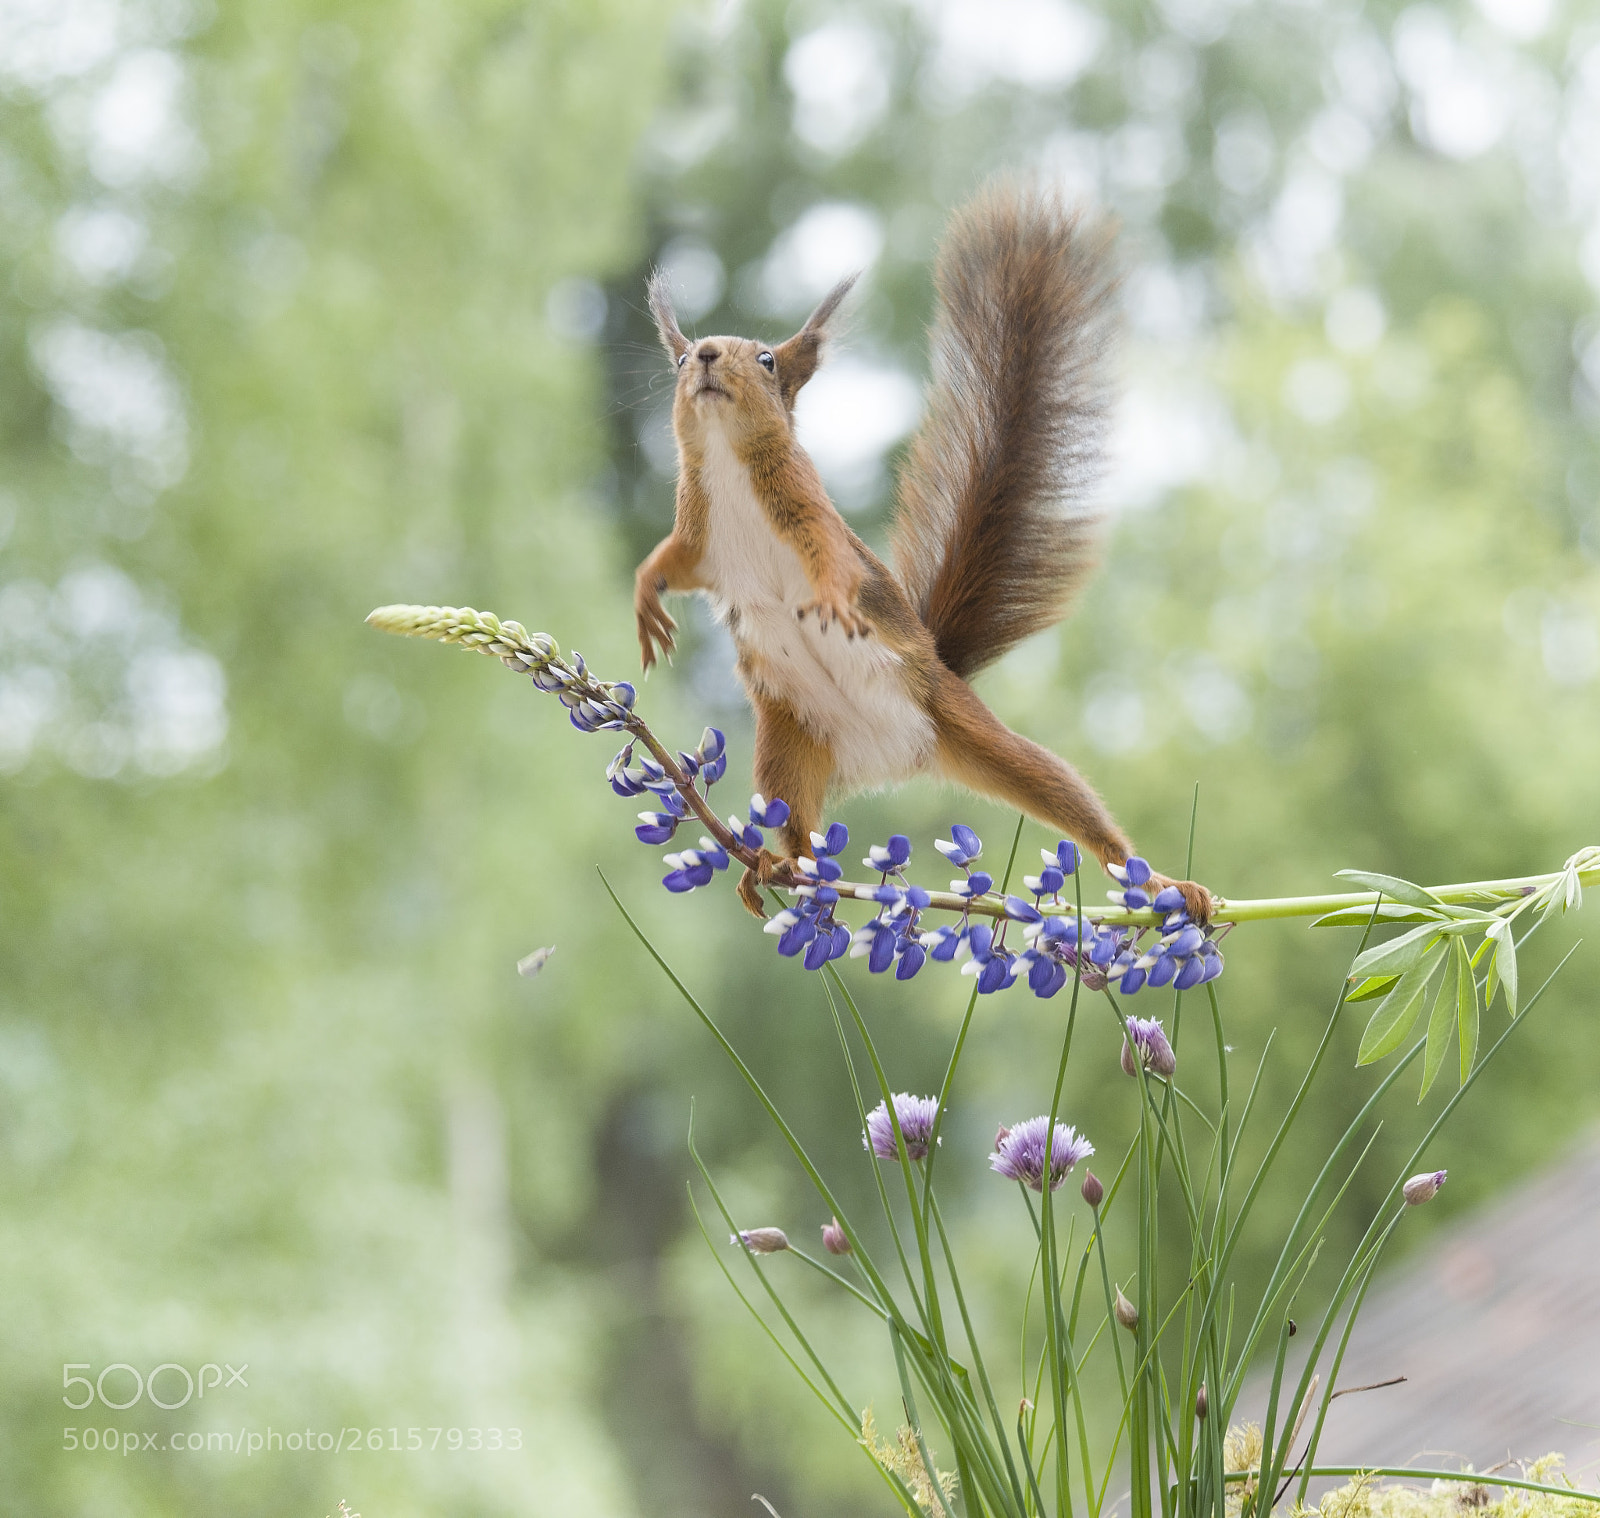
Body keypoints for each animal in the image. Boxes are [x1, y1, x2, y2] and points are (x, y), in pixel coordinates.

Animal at [635, 177, 1214, 925]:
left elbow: (834, 563)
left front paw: (830, 600)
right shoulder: (701, 538)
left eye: (765, 358)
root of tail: (888, 759)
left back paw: (1162, 882)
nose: (704, 356)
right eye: (680, 358)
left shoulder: (808, 513)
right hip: (789, 745)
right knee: (798, 828)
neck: (732, 466)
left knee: (1063, 794)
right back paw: (778, 865)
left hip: (959, 721)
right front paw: (645, 602)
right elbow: (668, 565)